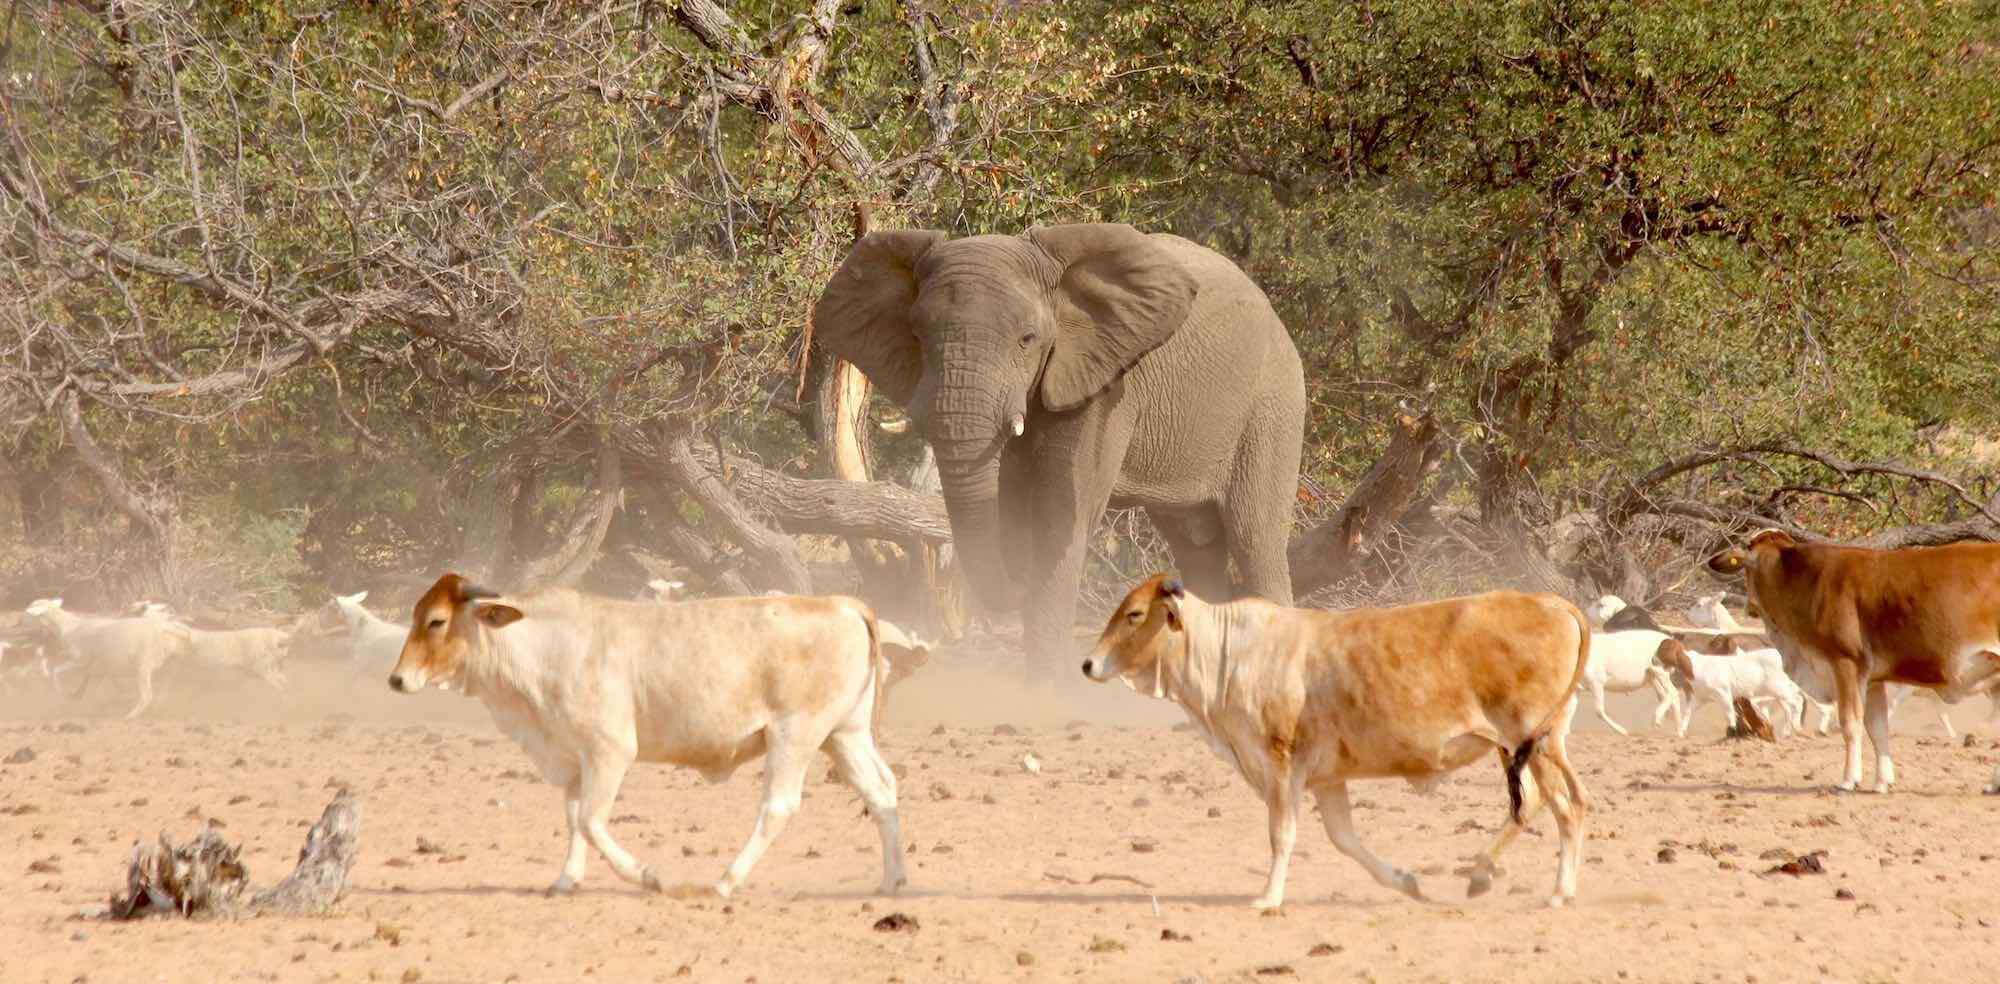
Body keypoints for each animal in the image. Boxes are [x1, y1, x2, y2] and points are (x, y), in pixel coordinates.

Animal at [387, 574, 908, 898]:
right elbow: (575, 818)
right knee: (882, 791)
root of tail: (841, 605)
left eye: (436, 620)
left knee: (778, 807)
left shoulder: (610, 752)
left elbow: (592, 821)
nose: (396, 680)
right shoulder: (575, 759)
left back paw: (725, 882)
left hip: (794, 736)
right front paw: (566, 881)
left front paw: (647, 876)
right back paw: (893, 881)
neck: (545, 645)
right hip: (845, 735)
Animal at [813, 222, 1306, 673]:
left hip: (1274, 406)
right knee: (1198, 548)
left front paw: (1047, 693)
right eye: (917, 336)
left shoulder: (1104, 386)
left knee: (1254, 538)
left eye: (1027, 339)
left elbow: (1058, 516)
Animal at [1080, 575, 1589, 908]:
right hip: (1532, 746)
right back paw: (1482, 872)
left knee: (1567, 807)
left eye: (1135, 614)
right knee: (1546, 801)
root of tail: (1551, 602)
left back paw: (1560, 892)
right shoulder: (1326, 777)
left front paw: (1268, 897)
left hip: (1533, 739)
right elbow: (1344, 839)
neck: (1229, 654)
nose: (1087, 663)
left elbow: (1282, 835)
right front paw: (1404, 881)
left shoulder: (1281, 765)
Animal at [1708, 530, 2000, 793]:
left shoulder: (1845, 664)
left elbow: (1849, 723)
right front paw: (1882, 782)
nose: (1748, 607)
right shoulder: (1873, 680)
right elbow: (1878, 728)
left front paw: (1849, 780)